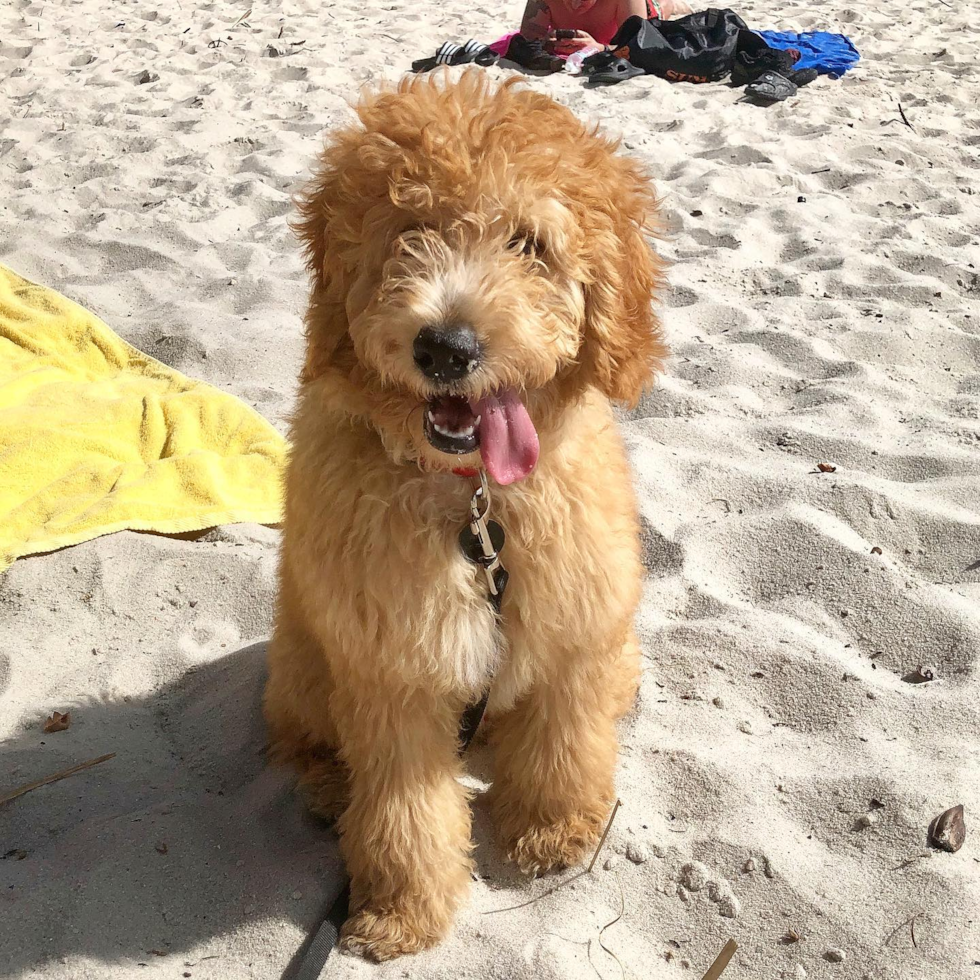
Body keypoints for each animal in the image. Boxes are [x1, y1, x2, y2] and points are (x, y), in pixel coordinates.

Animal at [264, 72, 668, 960]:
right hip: (302, 659)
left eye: (530, 244)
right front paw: (400, 909)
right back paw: (327, 785)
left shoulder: (574, 624)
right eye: (410, 230)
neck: (474, 505)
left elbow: (564, 736)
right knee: (302, 735)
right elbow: (402, 809)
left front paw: (554, 828)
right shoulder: (392, 668)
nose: (446, 348)